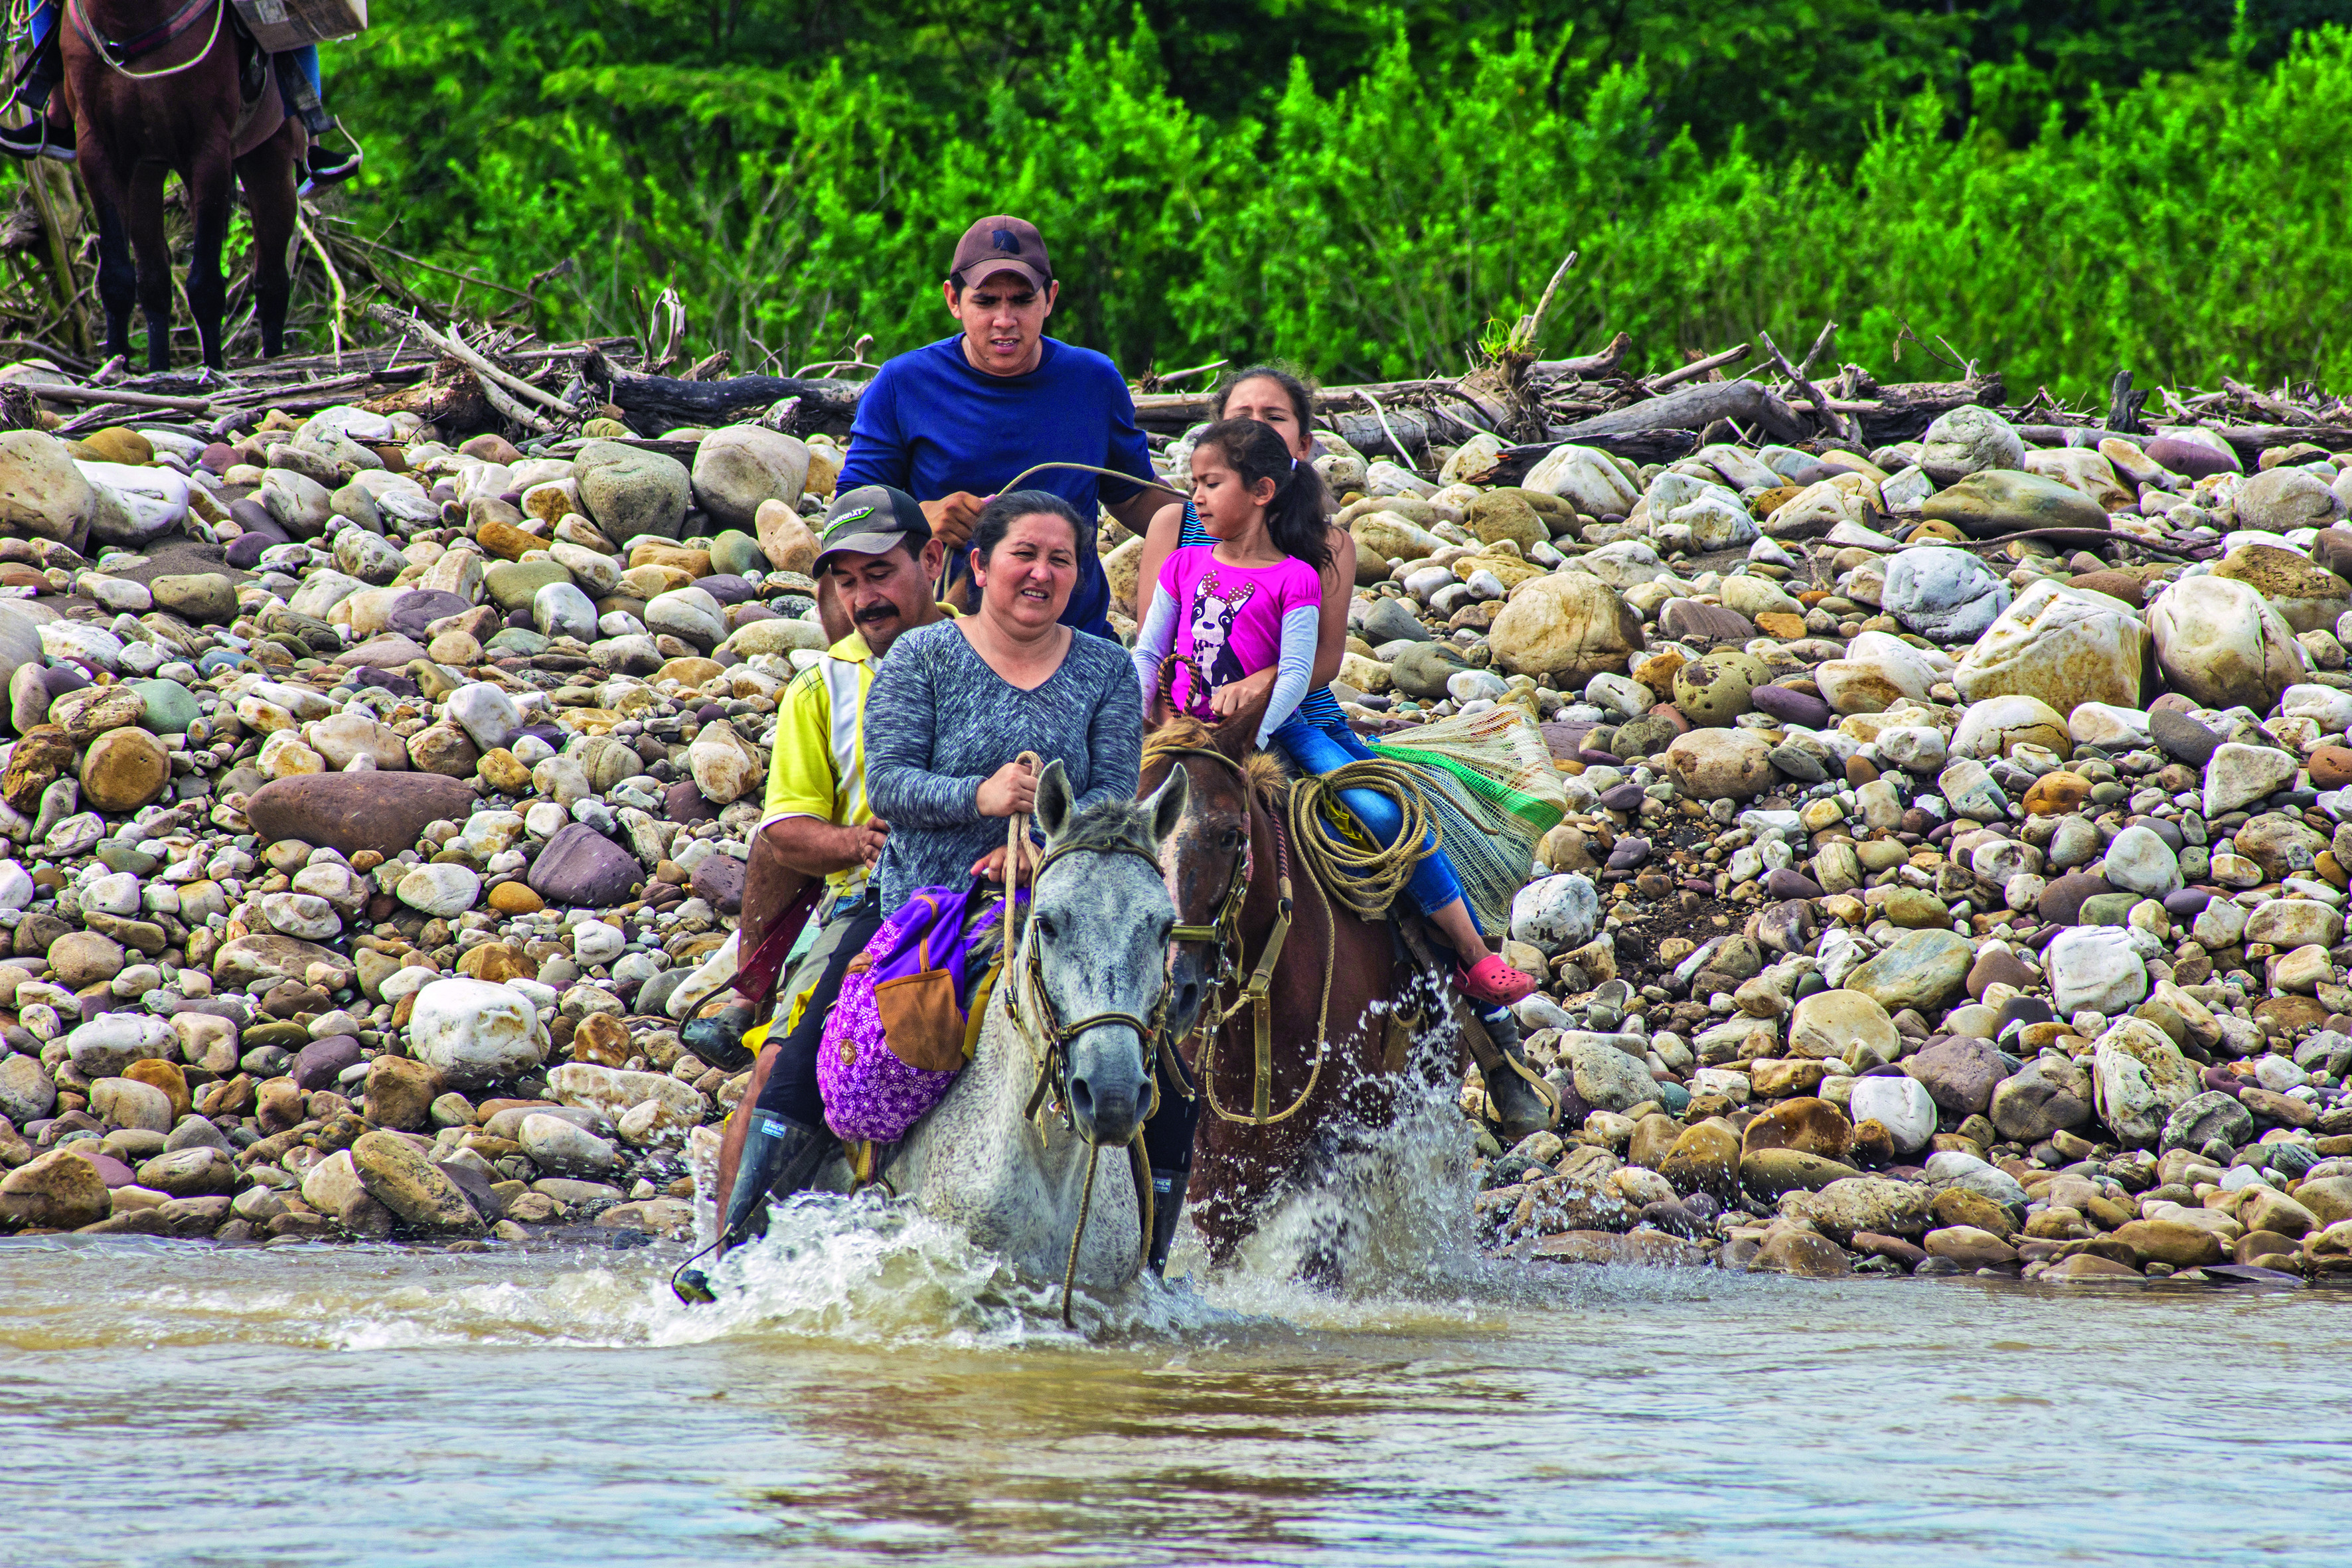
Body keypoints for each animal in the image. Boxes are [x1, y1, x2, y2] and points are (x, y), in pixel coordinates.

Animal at [60, 0, 303, 368]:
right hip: (145, 172)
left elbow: (206, 286)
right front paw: (117, 367)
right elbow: (116, 277)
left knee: (272, 281)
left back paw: (275, 361)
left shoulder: (209, 149)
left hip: (270, 157)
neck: (127, 17)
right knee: (154, 280)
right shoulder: (96, 147)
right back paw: (158, 369)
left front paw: (213, 371)